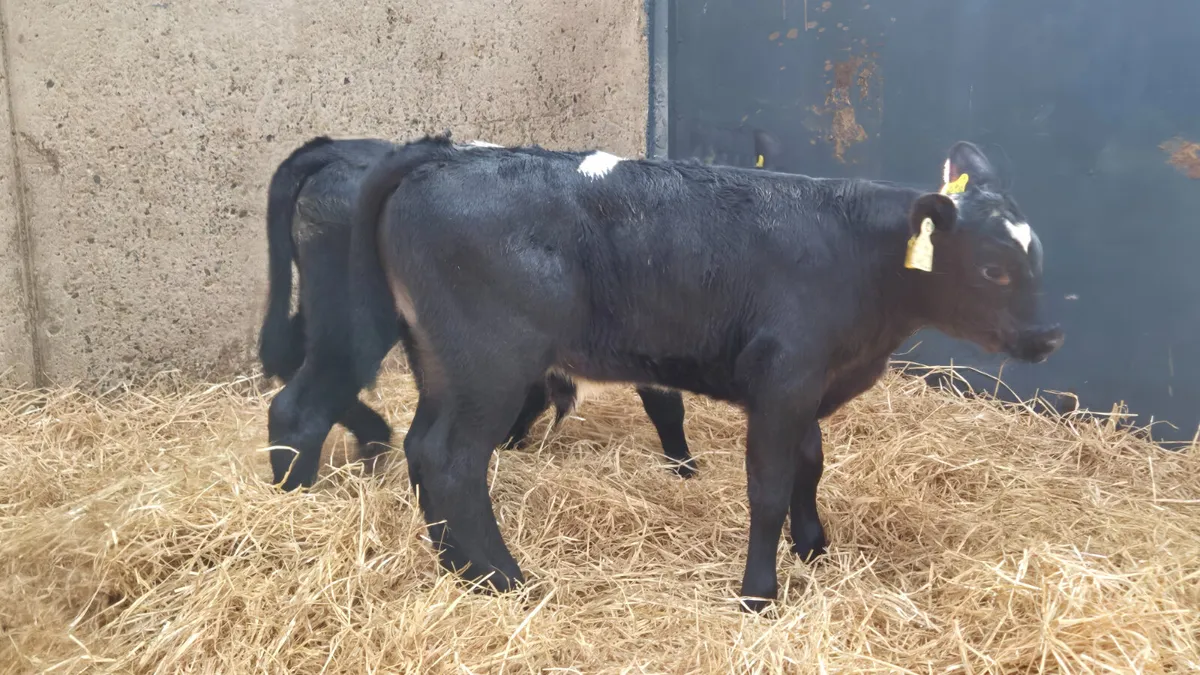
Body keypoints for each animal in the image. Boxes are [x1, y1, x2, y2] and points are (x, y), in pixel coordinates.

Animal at [257, 136, 703, 492]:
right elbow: (666, 406)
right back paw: (300, 490)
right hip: (353, 315)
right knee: (299, 406)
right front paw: (685, 468)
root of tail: (335, 149)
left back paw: (372, 442)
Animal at [345, 132, 1063, 613]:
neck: (857, 256)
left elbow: (810, 466)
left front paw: (813, 545)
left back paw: (458, 567)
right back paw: (503, 577)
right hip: (489, 363)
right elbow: (768, 488)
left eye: (1037, 261)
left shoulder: (805, 385)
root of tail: (446, 153)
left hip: (440, 362)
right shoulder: (784, 381)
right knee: (452, 460)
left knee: (421, 448)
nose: (1049, 335)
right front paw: (759, 593)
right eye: (994, 269)